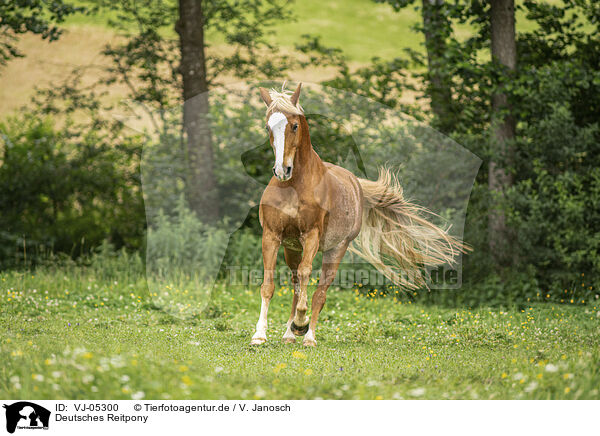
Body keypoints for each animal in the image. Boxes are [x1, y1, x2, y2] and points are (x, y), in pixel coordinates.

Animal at [251, 82, 462, 348]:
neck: (293, 187)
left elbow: (308, 276)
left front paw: (301, 323)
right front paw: (259, 335)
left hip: (336, 248)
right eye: (268, 127)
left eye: (295, 125)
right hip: (292, 249)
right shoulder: (272, 235)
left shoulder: (311, 236)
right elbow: (269, 285)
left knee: (319, 292)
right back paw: (290, 333)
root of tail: (355, 183)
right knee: (296, 283)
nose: (282, 170)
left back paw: (307, 334)